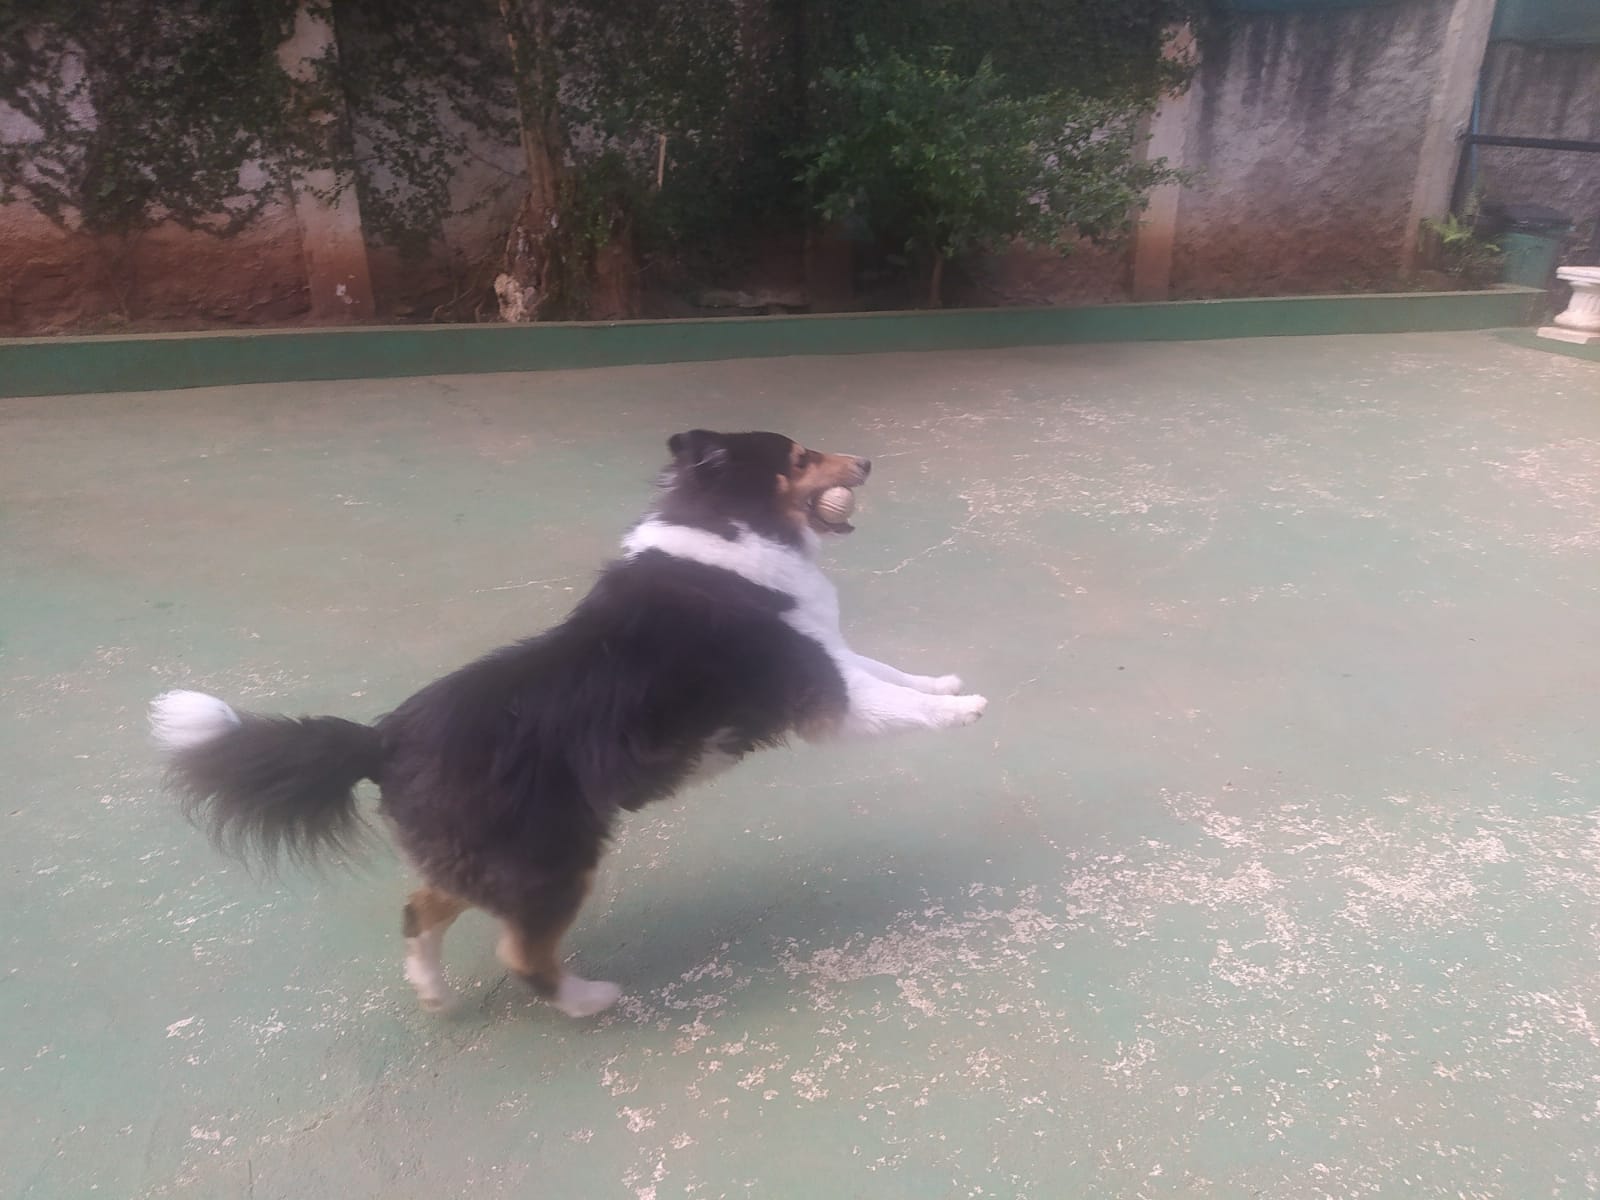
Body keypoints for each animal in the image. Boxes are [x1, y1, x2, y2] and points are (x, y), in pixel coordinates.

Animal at [151, 430, 987, 1019]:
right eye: (801, 455)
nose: (869, 461)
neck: (724, 525)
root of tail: (380, 739)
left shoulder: (832, 658)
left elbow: (892, 670)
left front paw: (946, 680)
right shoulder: (825, 694)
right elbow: (895, 701)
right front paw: (964, 710)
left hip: (489, 859)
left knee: (420, 910)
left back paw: (433, 994)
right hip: (552, 860)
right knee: (520, 954)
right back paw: (590, 1001)